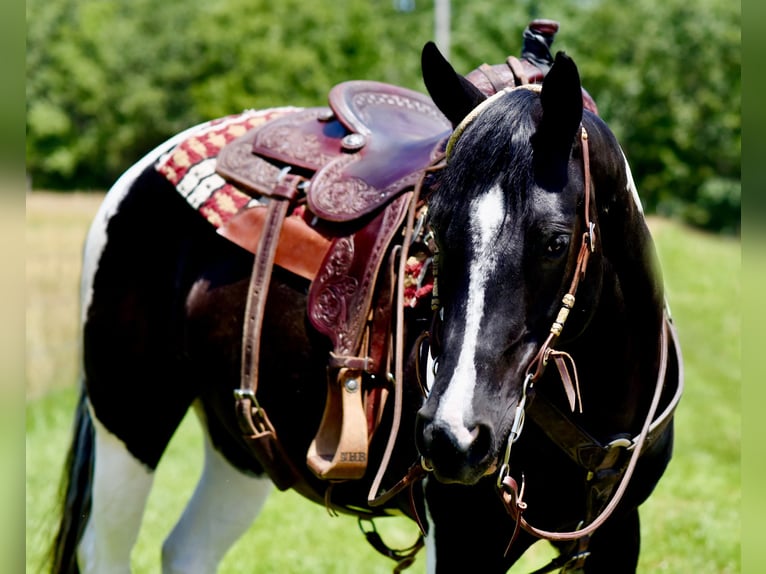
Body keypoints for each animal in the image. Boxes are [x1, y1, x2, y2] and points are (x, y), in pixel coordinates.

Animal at [48, 34, 682, 574]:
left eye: (554, 241)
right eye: (434, 233)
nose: (452, 436)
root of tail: (144, 167)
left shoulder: (620, 534)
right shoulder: (462, 540)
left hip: (239, 445)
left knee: (188, 550)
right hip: (130, 417)